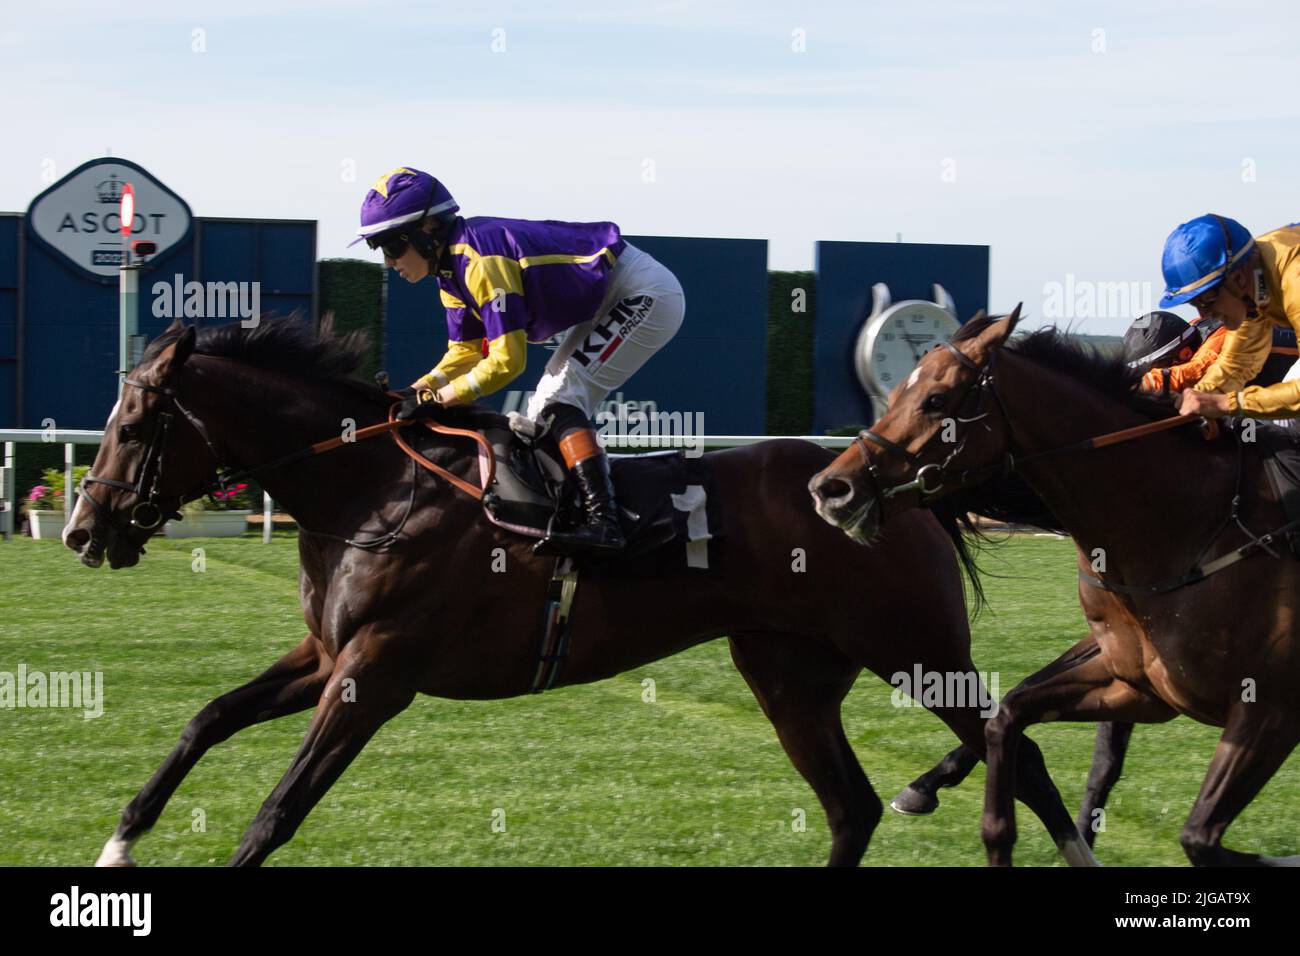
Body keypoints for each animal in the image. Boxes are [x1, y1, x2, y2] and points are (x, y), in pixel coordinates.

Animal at [65, 316, 1092, 868]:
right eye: (112, 416)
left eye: (138, 422)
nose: (83, 529)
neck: (371, 488)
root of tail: (889, 482)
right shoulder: (327, 655)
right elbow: (207, 718)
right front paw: (121, 840)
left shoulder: (375, 673)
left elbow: (278, 808)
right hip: (788, 673)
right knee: (852, 806)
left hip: (914, 650)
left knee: (1020, 752)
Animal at [806, 312, 1300, 868]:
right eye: (892, 396)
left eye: (935, 400)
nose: (832, 488)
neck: (1190, 525)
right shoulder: (1140, 686)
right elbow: (1019, 719)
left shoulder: (1269, 713)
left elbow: (1199, 838)